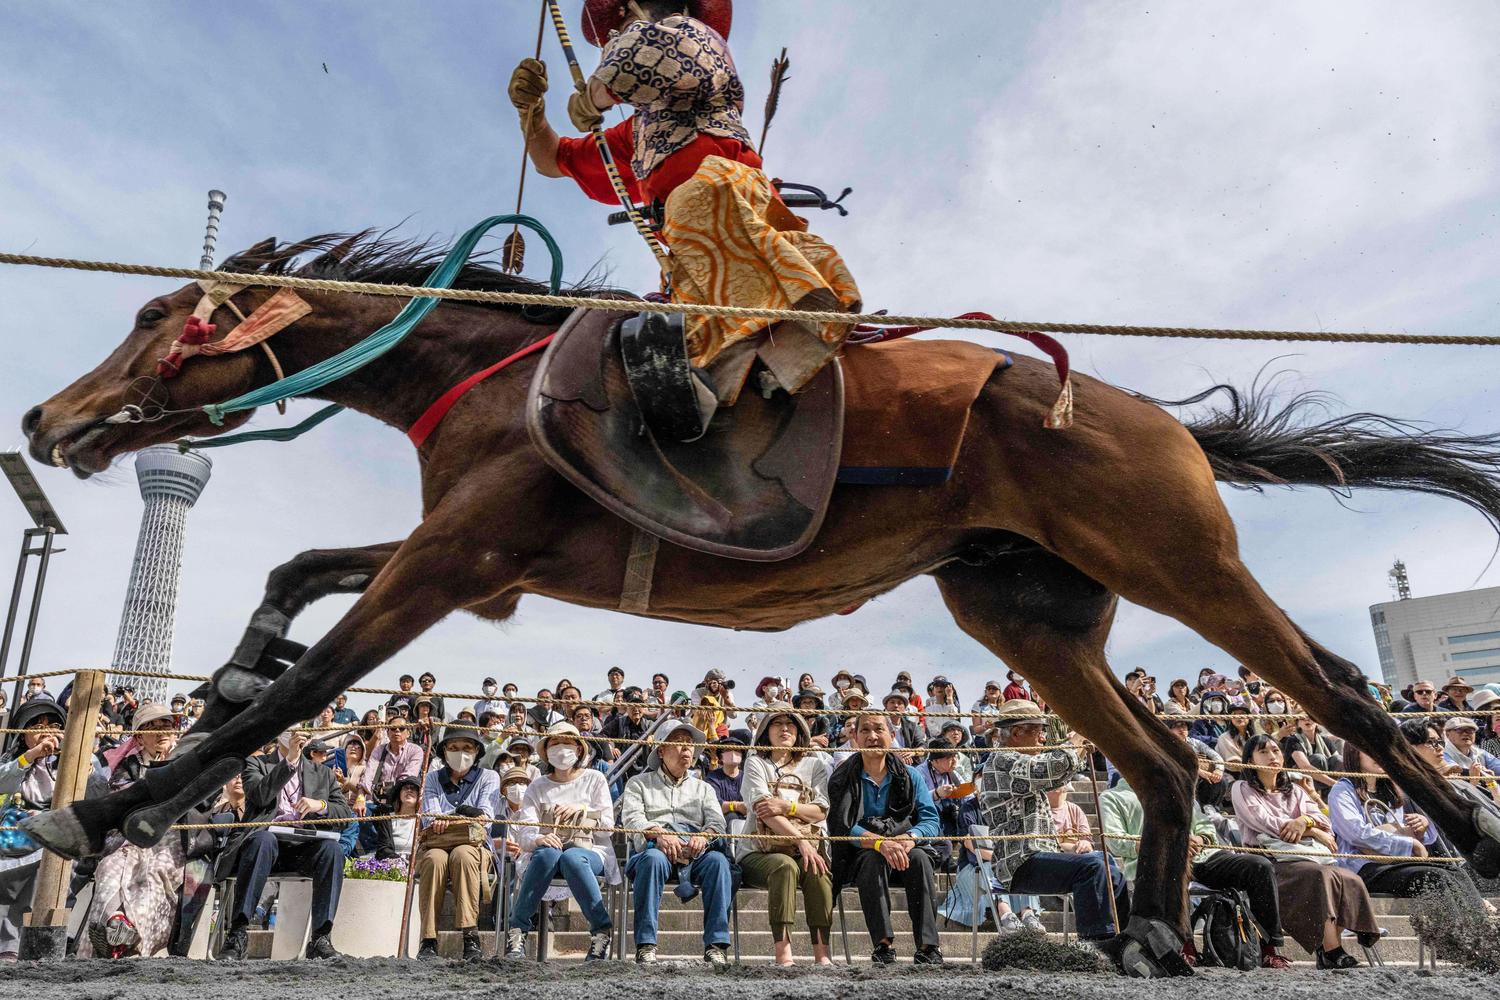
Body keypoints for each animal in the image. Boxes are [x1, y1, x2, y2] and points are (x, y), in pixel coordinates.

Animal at [17, 232, 1500, 971]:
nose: (45, 417)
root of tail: (1160, 419)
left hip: (1178, 558)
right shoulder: (476, 561)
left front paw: (103, 804)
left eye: (157, 315)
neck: (490, 375)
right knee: (1171, 761)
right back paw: (1148, 930)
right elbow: (295, 580)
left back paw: (1472, 842)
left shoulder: (457, 559)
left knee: (1341, 694)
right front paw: (227, 670)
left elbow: (321, 671)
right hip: (1026, 617)